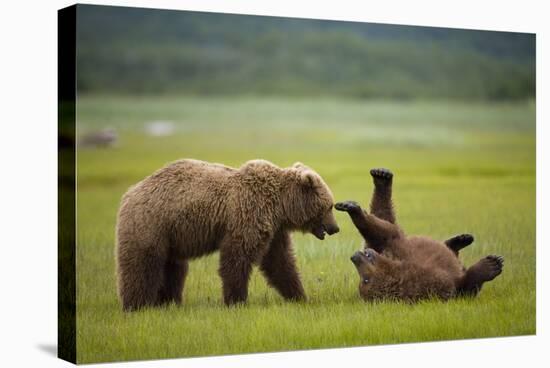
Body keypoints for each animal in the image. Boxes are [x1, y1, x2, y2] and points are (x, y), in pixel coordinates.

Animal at [117, 158, 340, 310]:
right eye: (329, 206)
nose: (335, 228)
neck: (280, 206)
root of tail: (129, 193)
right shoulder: (248, 215)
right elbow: (237, 258)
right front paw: (236, 300)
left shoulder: (274, 229)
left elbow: (280, 262)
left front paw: (299, 296)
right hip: (150, 225)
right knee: (142, 265)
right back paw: (137, 305)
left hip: (172, 236)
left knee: (173, 268)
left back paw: (169, 302)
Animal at [336, 169, 504, 302]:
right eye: (364, 280)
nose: (355, 256)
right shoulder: (435, 285)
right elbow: (465, 288)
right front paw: (492, 264)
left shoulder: (393, 250)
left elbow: (383, 231)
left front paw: (350, 206)